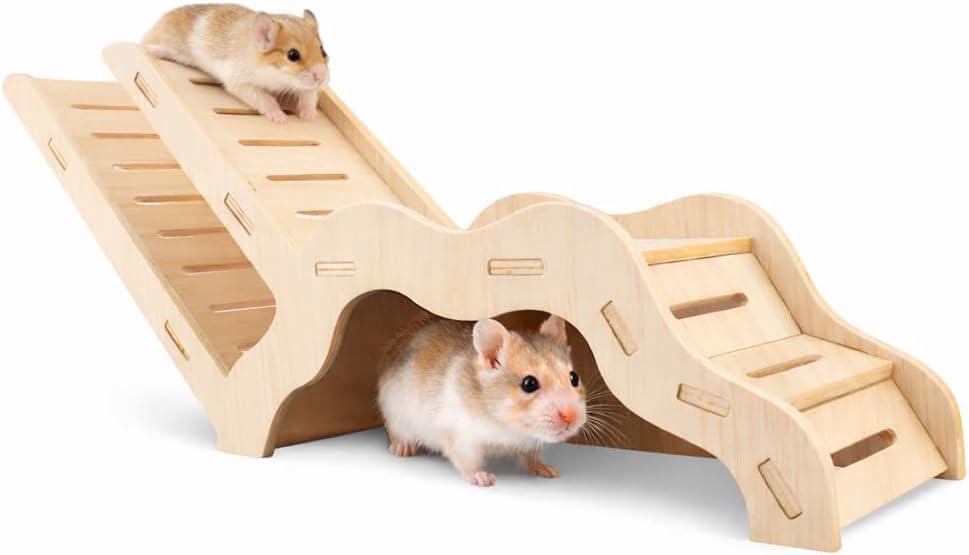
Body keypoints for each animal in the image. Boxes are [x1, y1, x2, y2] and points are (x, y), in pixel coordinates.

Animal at [143, 4, 330, 123]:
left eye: (323, 51)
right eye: (293, 55)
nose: (321, 77)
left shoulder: (309, 88)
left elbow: (309, 95)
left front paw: (309, 116)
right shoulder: (241, 83)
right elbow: (266, 99)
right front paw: (280, 118)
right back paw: (153, 50)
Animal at [376, 315, 587, 487]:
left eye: (574, 377)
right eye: (529, 384)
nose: (571, 418)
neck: (503, 423)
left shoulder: (530, 443)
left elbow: (531, 457)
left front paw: (548, 470)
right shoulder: (461, 436)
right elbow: (469, 462)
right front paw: (484, 479)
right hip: (394, 414)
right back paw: (402, 449)